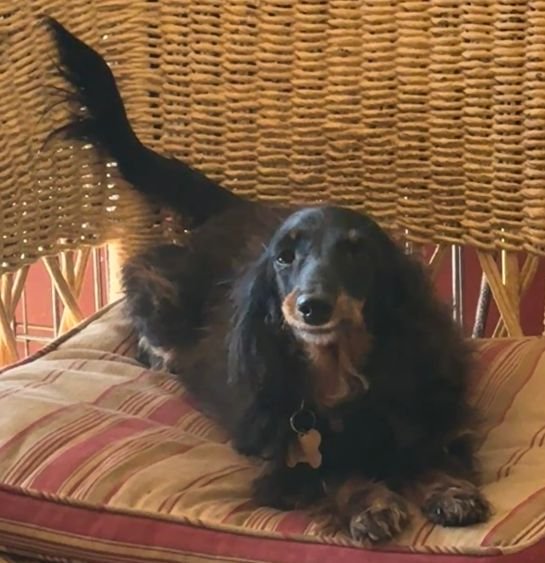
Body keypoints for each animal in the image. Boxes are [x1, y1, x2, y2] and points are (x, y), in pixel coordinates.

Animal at [47, 18, 491, 544]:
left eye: (356, 252)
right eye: (284, 258)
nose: (312, 307)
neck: (339, 377)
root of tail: (232, 205)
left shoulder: (421, 406)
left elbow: (424, 450)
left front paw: (449, 490)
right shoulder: (286, 459)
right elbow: (333, 474)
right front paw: (370, 505)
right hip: (165, 293)